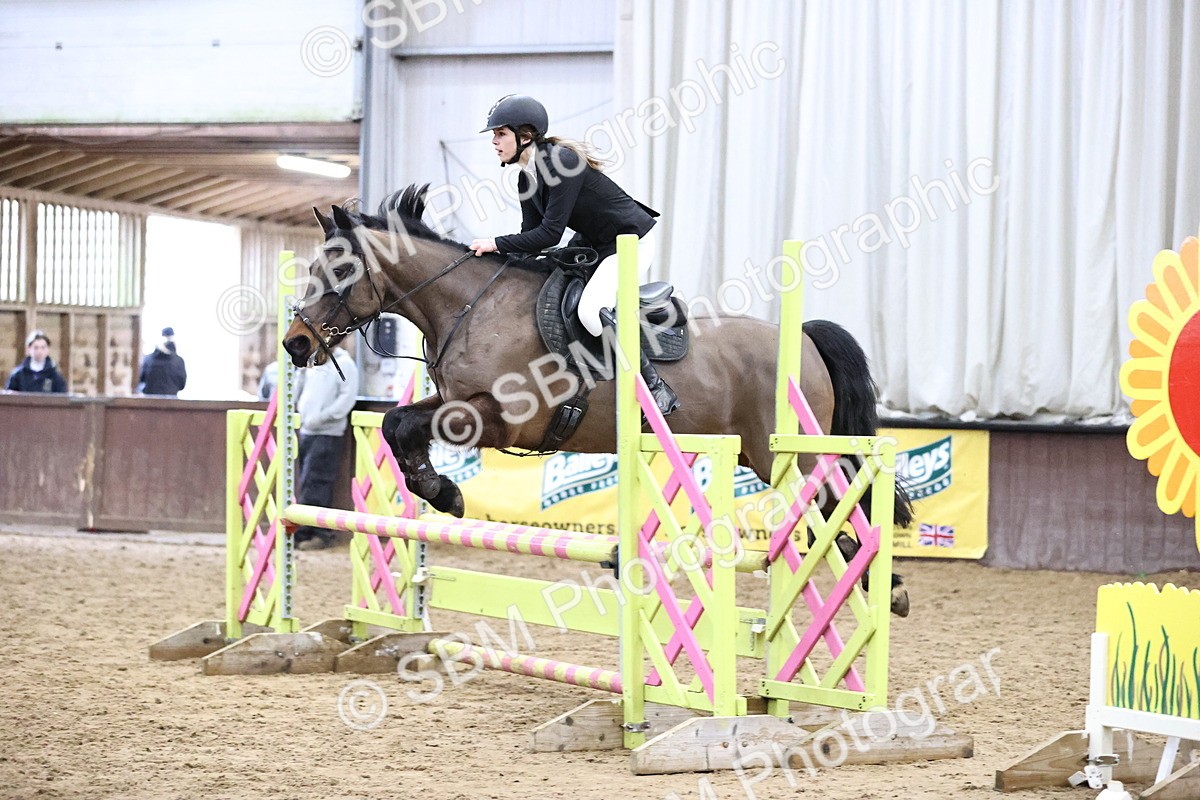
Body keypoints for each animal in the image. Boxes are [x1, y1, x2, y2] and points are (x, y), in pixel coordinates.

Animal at [282, 186, 914, 615]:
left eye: (339, 270)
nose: (295, 344)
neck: (472, 305)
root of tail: (802, 336)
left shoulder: (501, 418)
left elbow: (406, 424)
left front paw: (444, 492)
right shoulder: (457, 403)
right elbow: (396, 425)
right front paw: (442, 492)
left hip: (791, 453)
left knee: (845, 507)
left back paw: (887, 590)